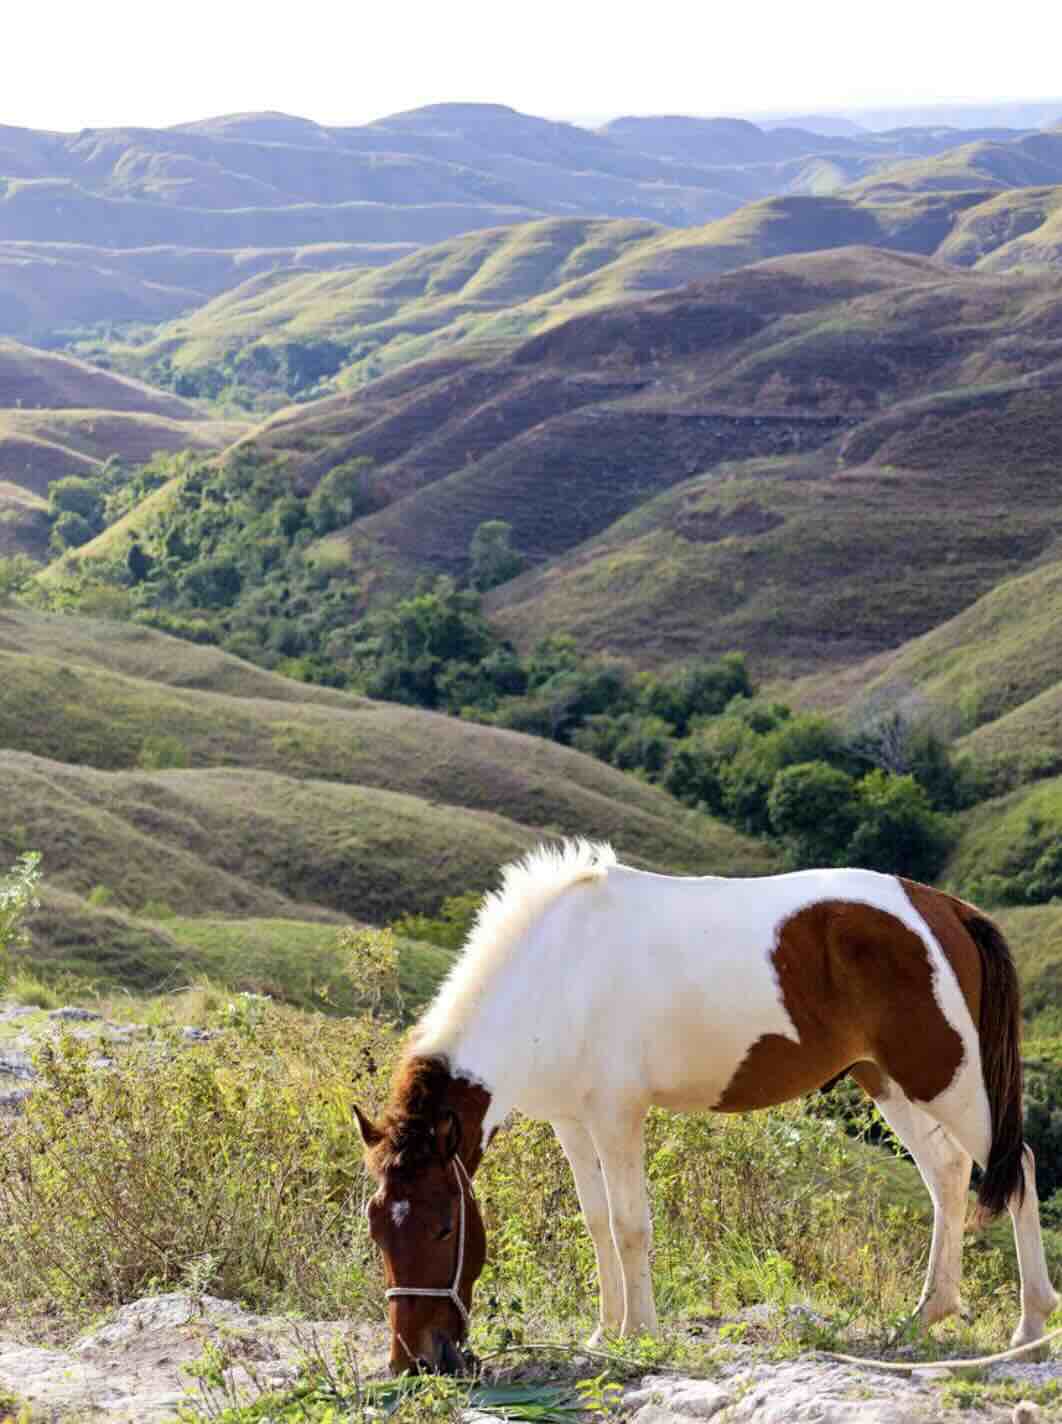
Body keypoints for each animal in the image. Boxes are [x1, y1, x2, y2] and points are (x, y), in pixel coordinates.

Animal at [355, 840, 1057, 1374]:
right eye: (377, 1228)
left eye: (444, 1227)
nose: (416, 1361)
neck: (556, 971)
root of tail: (946, 909)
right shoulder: (572, 1123)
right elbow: (596, 1223)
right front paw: (604, 1331)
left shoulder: (616, 1117)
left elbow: (629, 1226)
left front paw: (638, 1335)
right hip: (887, 1081)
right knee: (947, 1174)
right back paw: (925, 1316)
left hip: (944, 1080)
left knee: (1016, 1165)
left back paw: (1028, 1329)